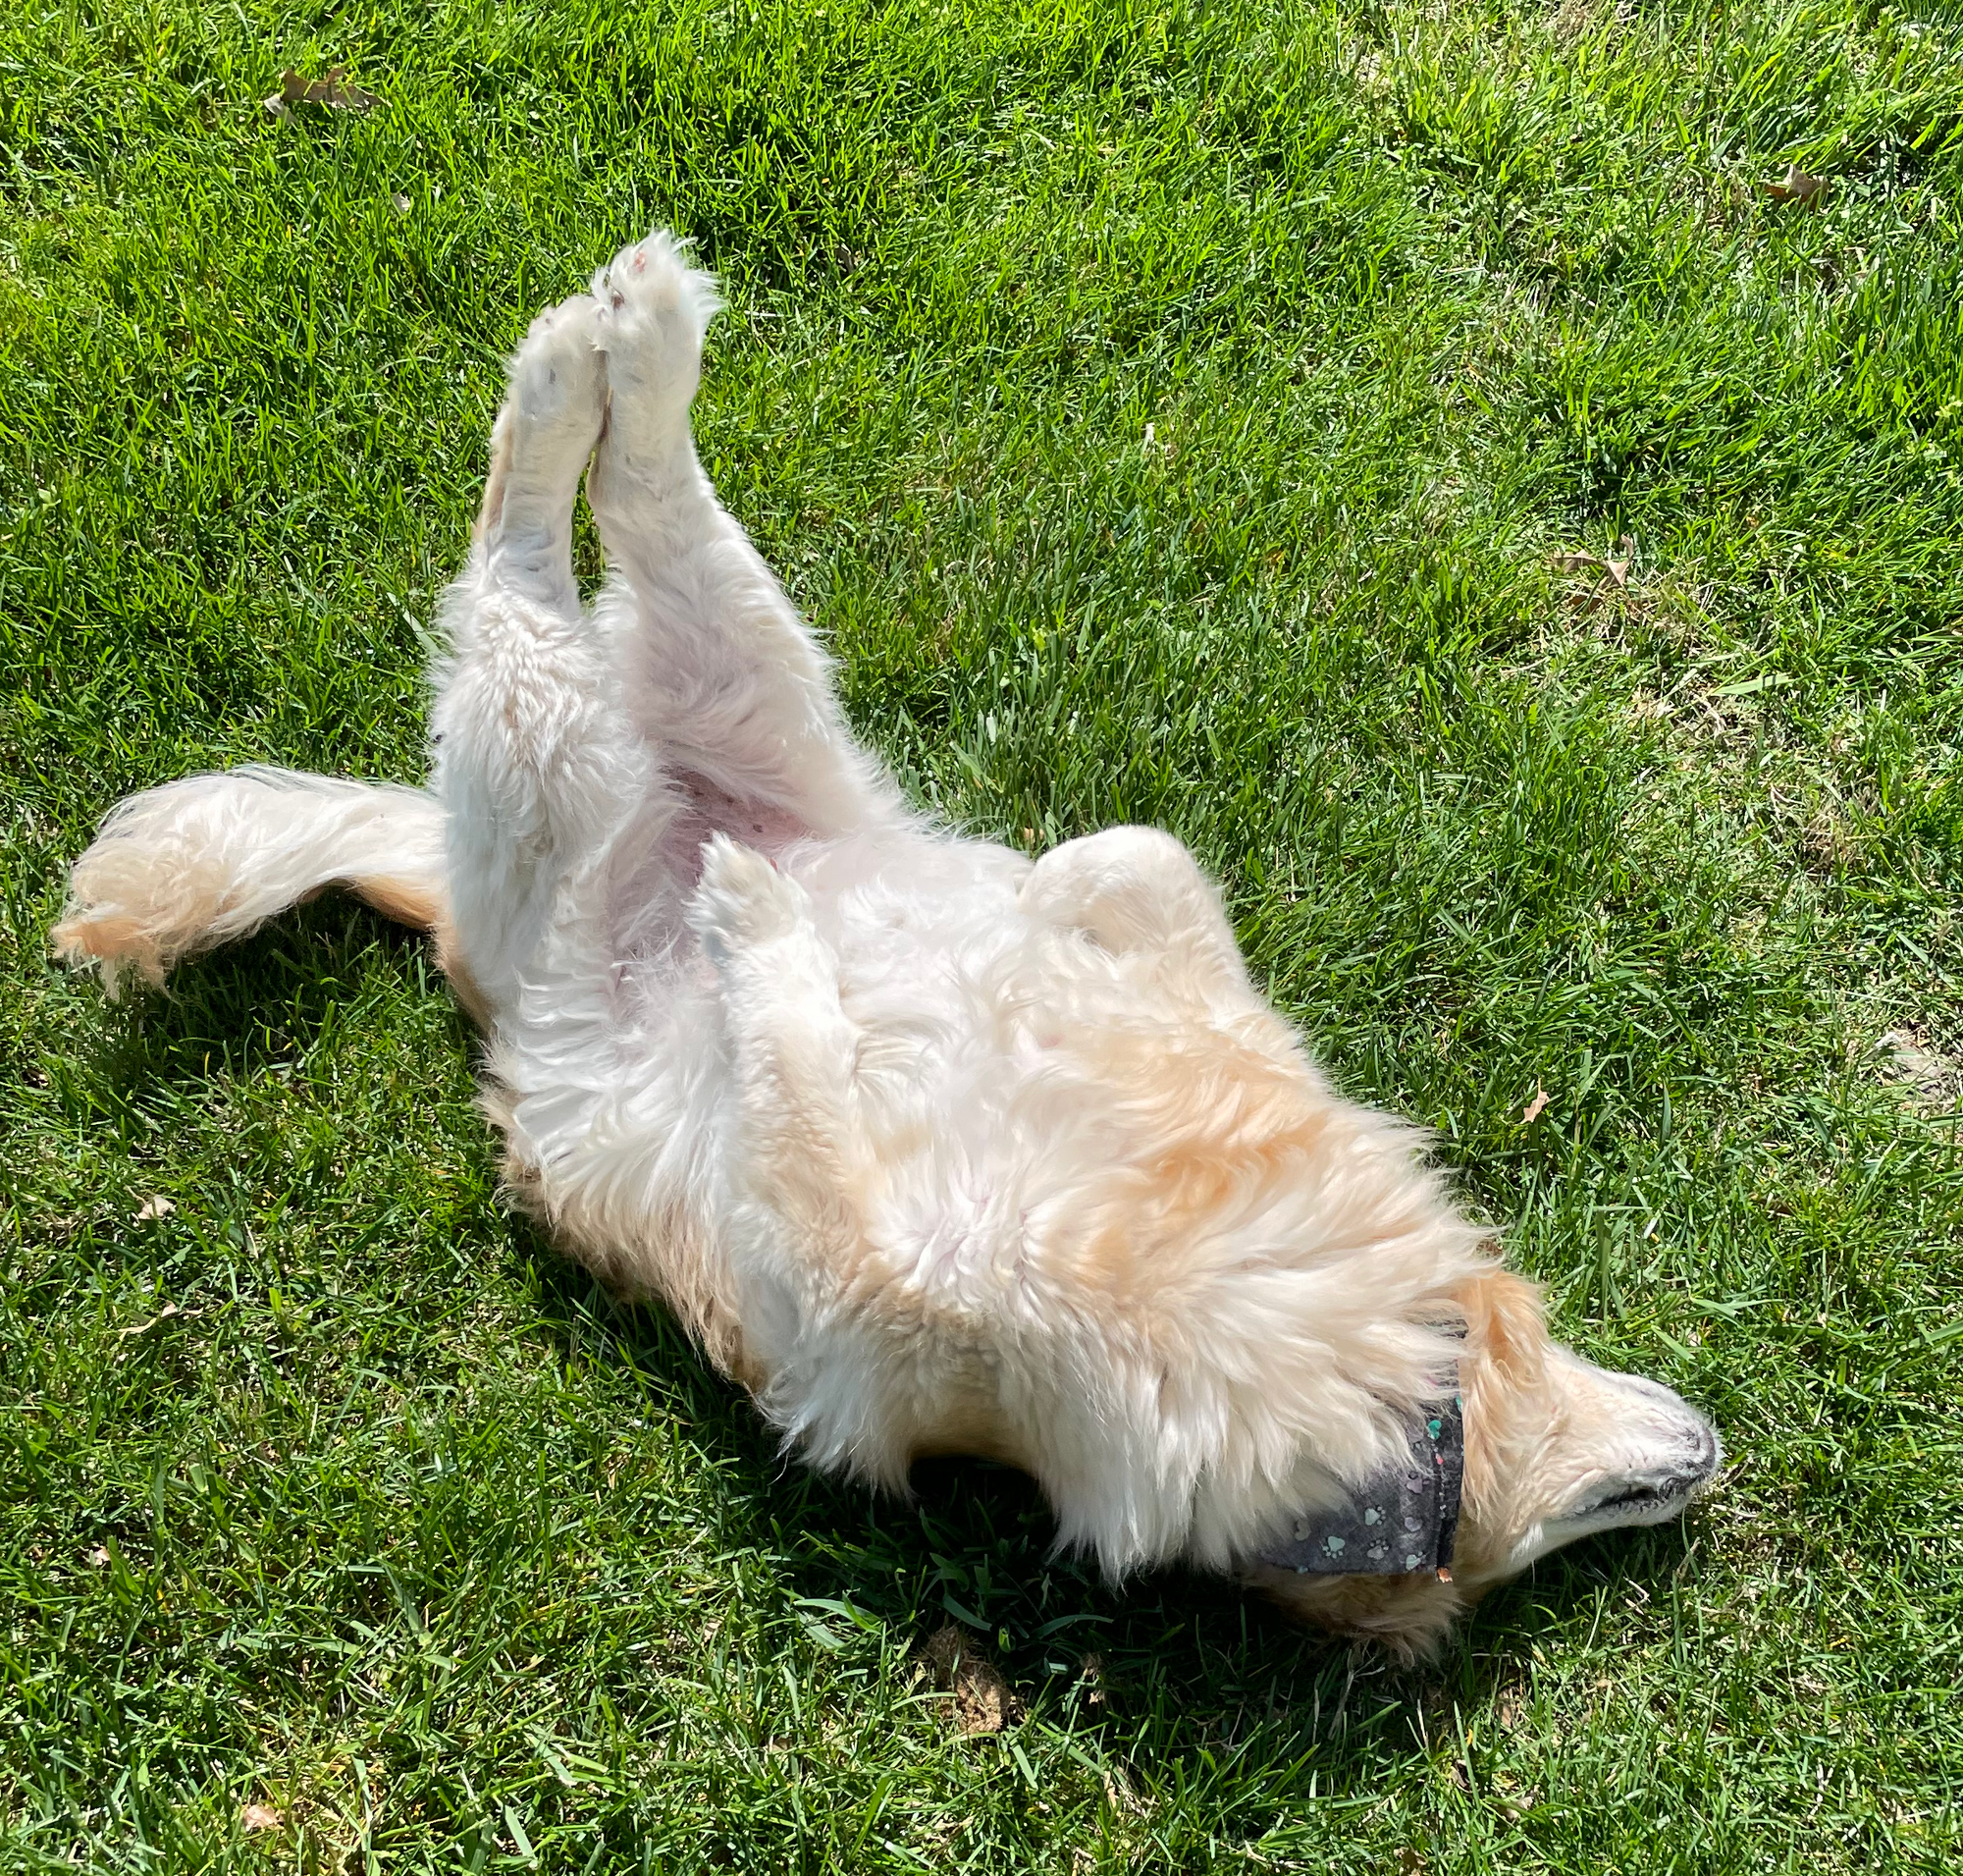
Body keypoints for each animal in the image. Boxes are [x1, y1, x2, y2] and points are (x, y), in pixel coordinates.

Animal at [53, 227, 1720, 1648]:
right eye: (1591, 1512)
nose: (1709, 1448)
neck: (1330, 1345)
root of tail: (475, 929)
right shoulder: (1161, 930)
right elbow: (1127, 863)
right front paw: (1015, 920)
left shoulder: (850, 1291)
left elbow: (802, 1059)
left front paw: (764, 931)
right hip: (724, 692)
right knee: (587, 512)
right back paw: (622, 338)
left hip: (582, 748)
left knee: (554, 551)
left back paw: (604, 359)